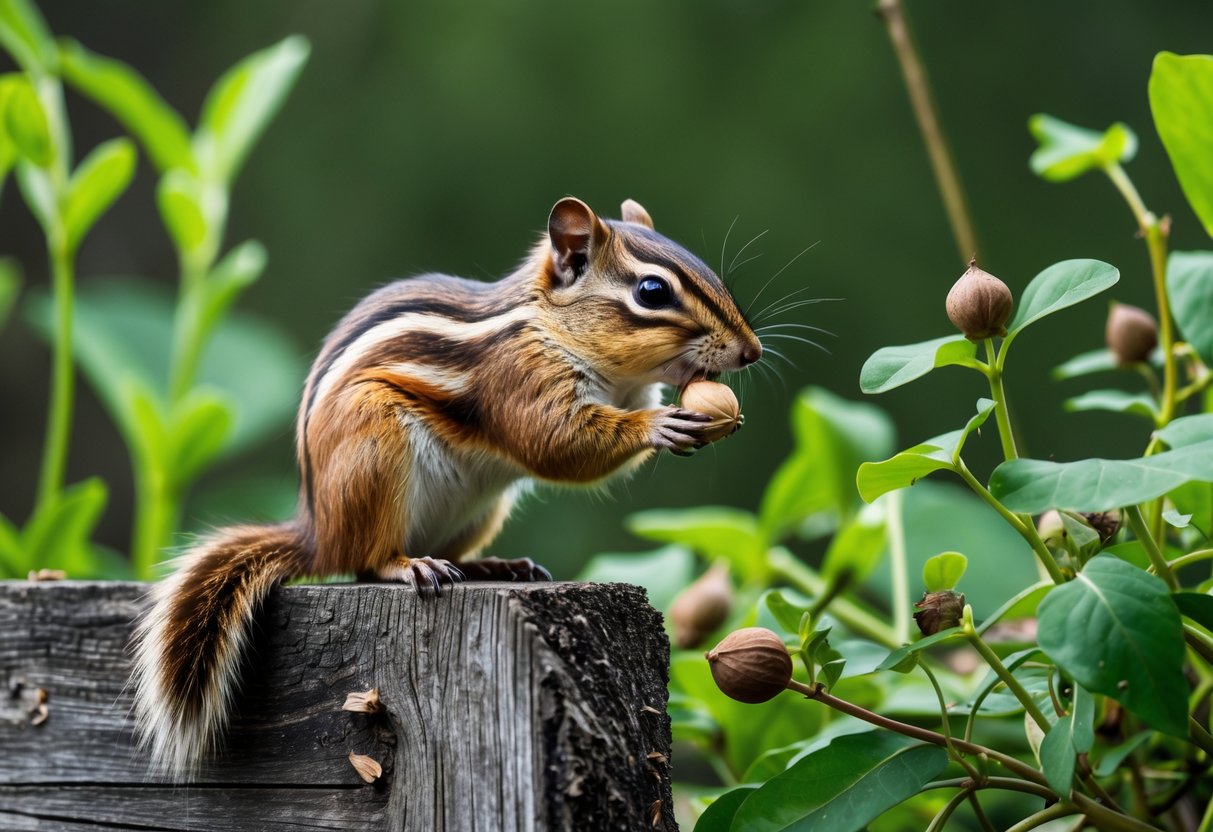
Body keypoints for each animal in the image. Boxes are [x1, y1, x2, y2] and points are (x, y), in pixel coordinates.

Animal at [131, 196, 763, 775]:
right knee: (365, 562)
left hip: (482, 507)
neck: (552, 325)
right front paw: (656, 426)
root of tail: (316, 531)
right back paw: (407, 565)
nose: (751, 351)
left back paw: (496, 566)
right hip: (374, 454)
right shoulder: (521, 376)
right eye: (652, 292)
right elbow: (556, 445)